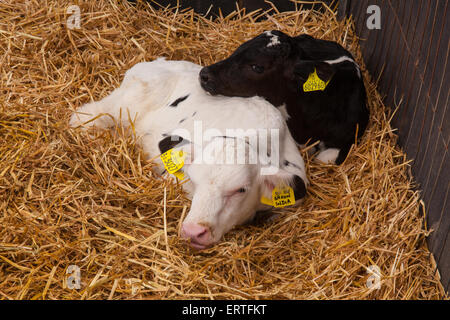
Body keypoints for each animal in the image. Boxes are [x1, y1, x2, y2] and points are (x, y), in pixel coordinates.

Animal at [70, 57, 308, 250]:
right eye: (194, 180)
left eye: (241, 190)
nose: (194, 231)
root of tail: (156, 62)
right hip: (121, 105)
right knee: (88, 115)